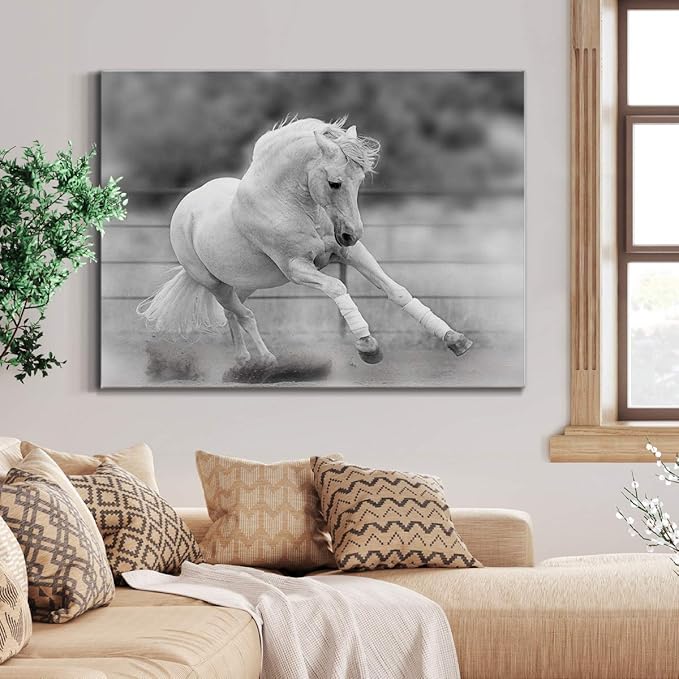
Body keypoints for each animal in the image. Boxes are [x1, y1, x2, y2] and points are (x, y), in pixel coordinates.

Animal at [137, 117, 473, 373]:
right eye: (335, 183)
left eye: (360, 180)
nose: (351, 233)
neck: (289, 204)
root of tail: (186, 208)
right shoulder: (297, 268)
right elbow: (338, 288)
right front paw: (368, 346)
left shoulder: (349, 253)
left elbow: (396, 290)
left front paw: (454, 338)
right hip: (214, 283)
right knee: (244, 315)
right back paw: (266, 360)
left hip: (243, 283)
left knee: (233, 314)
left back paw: (244, 361)